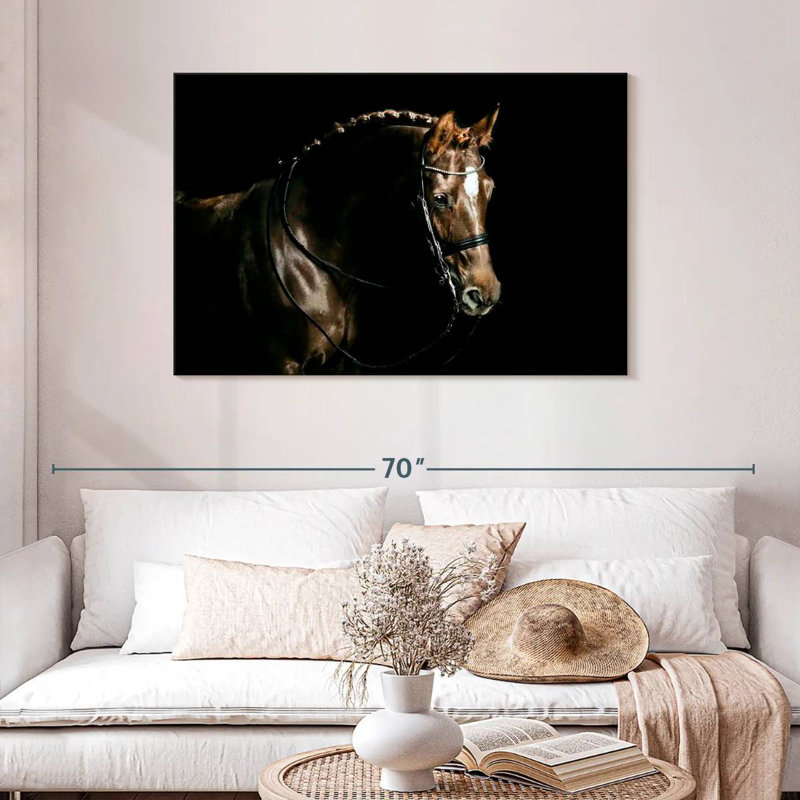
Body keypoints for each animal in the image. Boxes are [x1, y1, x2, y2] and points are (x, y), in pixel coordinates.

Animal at [174, 107, 501, 375]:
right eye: (440, 198)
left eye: (490, 189)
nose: (485, 292)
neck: (309, 249)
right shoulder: (284, 365)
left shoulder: (339, 364)